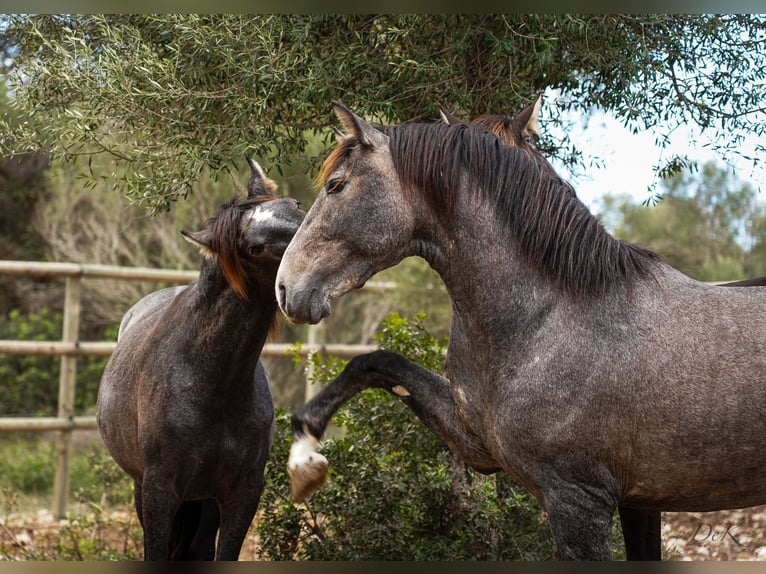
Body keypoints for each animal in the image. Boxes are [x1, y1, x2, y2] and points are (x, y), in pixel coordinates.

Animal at [98, 159, 306, 564]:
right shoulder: (159, 491)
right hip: (143, 489)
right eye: (255, 247)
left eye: (296, 205)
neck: (212, 384)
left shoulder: (242, 493)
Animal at [276, 101, 766, 560]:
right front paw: (303, 456)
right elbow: (374, 363)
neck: (549, 318)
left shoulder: (577, 501)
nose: (285, 287)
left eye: (336, 185)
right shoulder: (481, 447)